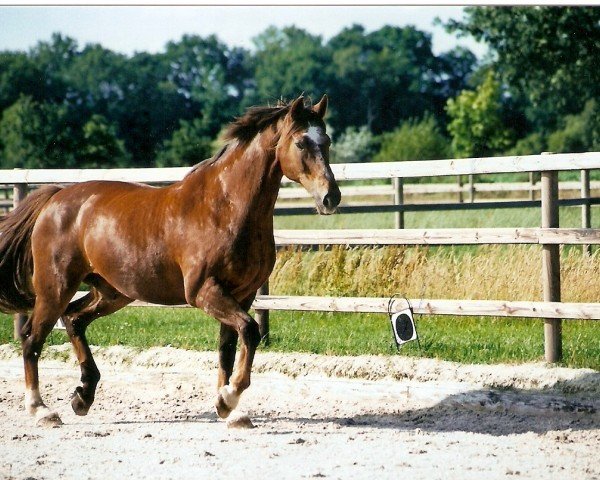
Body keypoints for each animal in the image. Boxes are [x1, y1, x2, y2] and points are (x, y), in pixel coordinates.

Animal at [0, 95, 338, 426]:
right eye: (301, 143)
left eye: (327, 141)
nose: (330, 197)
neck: (226, 207)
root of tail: (55, 199)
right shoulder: (204, 291)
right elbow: (250, 330)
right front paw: (230, 397)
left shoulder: (242, 294)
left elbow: (228, 348)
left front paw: (228, 408)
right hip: (55, 287)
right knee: (32, 339)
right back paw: (42, 410)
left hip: (112, 292)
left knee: (73, 320)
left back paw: (83, 396)